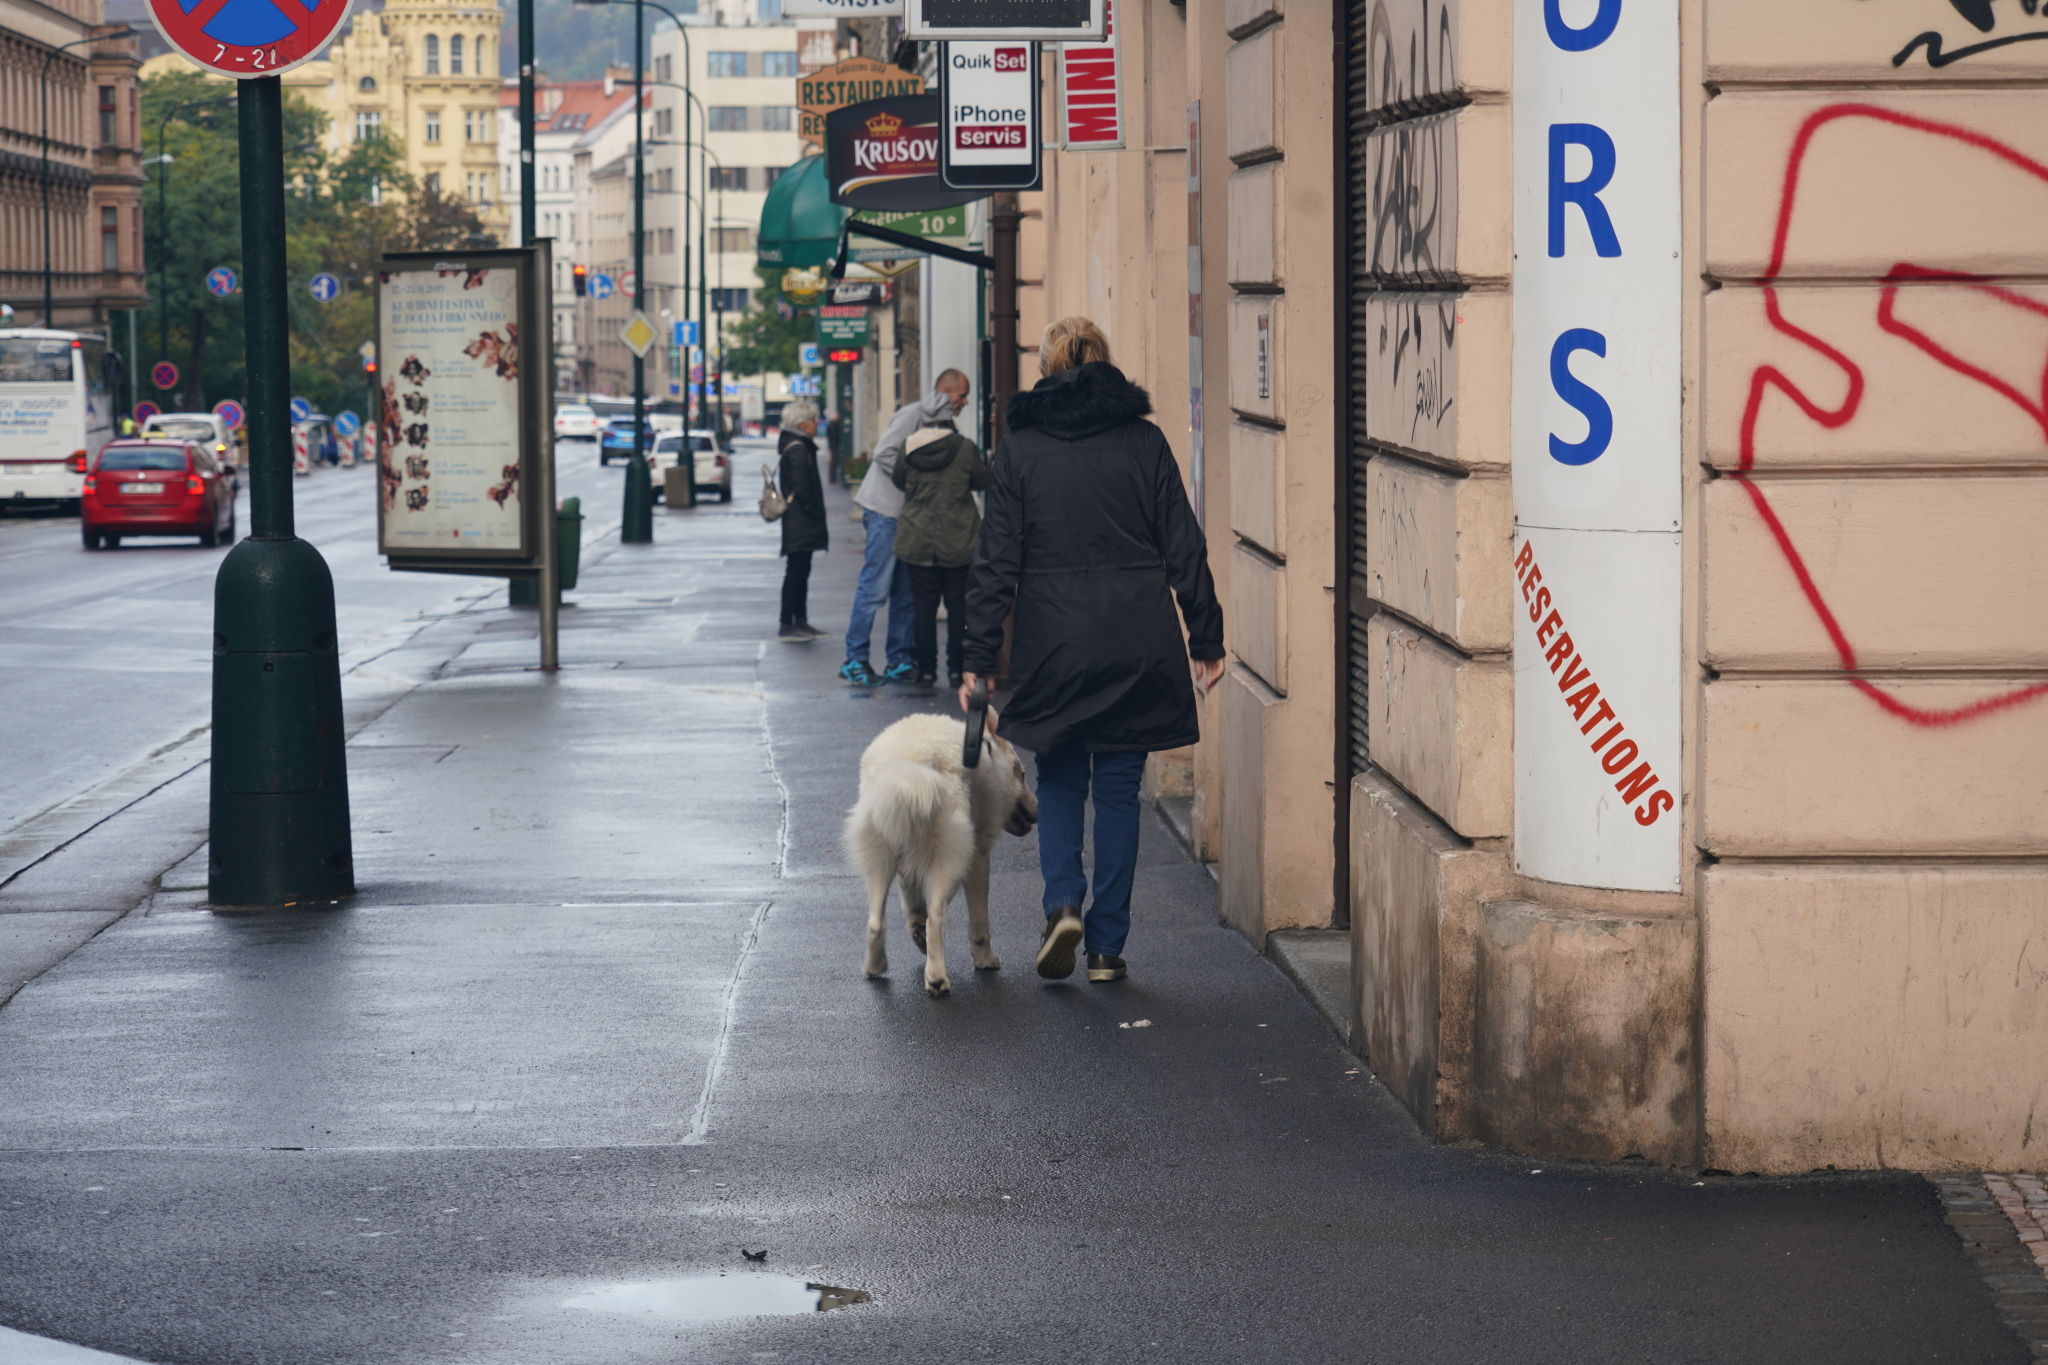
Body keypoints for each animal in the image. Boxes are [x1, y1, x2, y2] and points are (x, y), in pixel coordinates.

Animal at [843, 716, 1040, 994]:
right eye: (1022, 776)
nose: (1039, 810)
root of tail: (913, 758)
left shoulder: (908, 869)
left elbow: (914, 906)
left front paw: (917, 933)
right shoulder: (978, 857)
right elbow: (979, 922)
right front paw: (984, 960)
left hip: (879, 863)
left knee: (875, 922)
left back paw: (876, 965)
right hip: (950, 863)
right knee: (936, 917)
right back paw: (936, 978)